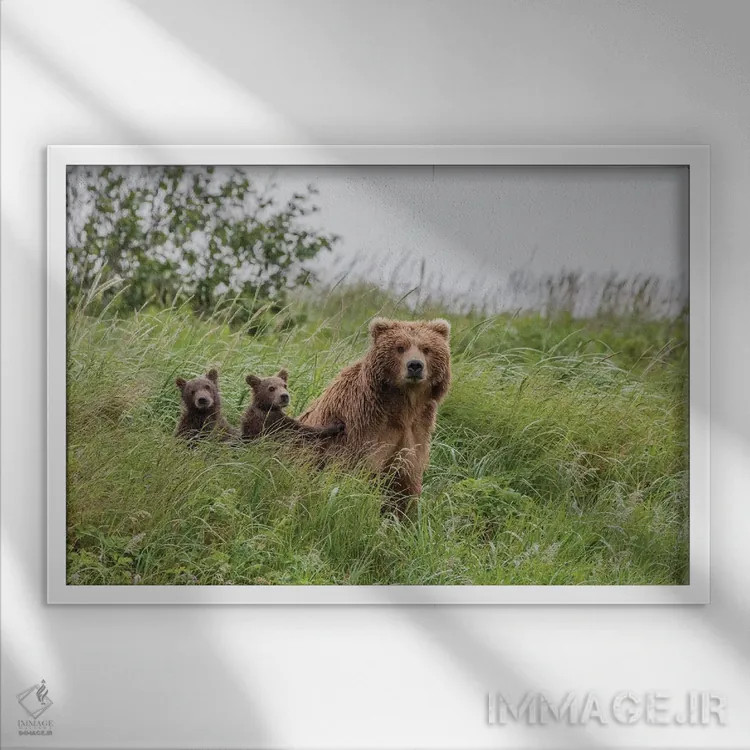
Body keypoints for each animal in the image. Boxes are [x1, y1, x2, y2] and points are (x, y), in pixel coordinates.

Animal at [299, 317, 451, 514]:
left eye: (426, 348)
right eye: (400, 347)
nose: (415, 365)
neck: (403, 405)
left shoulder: (417, 430)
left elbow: (405, 486)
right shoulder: (362, 427)